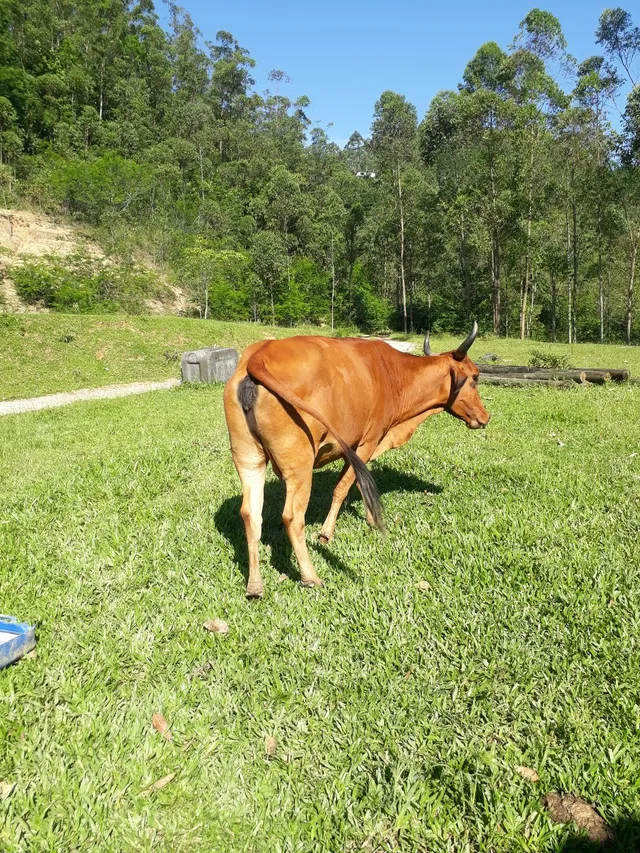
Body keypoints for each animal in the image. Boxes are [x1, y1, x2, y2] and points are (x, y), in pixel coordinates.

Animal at [223, 323, 490, 598]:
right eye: (475, 377)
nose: (485, 417)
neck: (392, 374)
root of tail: (259, 356)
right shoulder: (367, 443)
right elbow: (343, 487)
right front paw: (326, 534)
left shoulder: (352, 445)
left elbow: (360, 485)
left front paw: (371, 518)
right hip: (300, 467)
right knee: (292, 517)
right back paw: (310, 576)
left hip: (249, 460)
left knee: (250, 514)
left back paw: (255, 585)